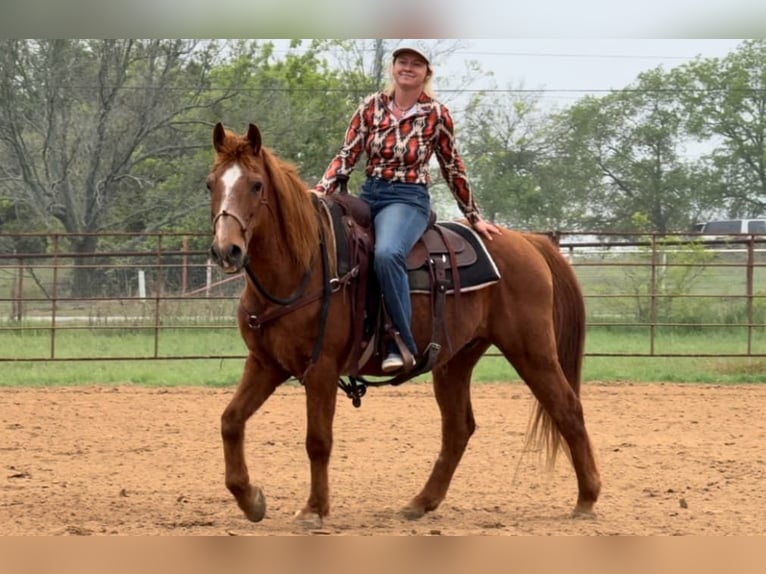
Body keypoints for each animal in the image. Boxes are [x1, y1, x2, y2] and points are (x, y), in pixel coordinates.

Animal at [207, 122, 601, 528]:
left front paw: (313, 509)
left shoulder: (322, 369)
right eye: (210, 184)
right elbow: (230, 420)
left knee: (568, 410)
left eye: (256, 185)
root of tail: (527, 241)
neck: (303, 268)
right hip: (455, 360)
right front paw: (251, 500)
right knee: (458, 429)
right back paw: (421, 502)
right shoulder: (266, 364)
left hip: (532, 350)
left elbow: (318, 440)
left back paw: (586, 499)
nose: (226, 250)